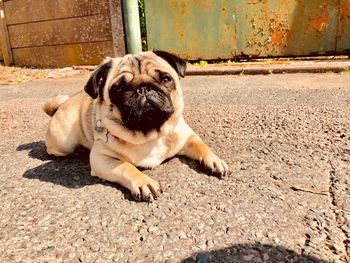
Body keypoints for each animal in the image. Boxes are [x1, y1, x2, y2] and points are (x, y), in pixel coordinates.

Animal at [43, 50, 230, 202]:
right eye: (118, 88)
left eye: (166, 79)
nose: (143, 88)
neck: (150, 133)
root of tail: (63, 104)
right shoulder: (101, 159)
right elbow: (126, 167)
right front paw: (143, 183)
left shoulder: (187, 137)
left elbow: (202, 146)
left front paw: (215, 161)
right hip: (63, 143)